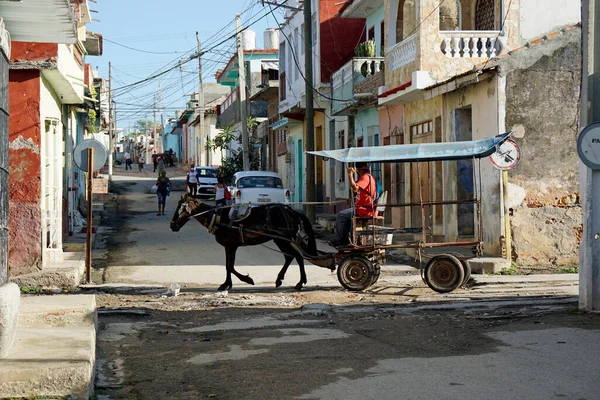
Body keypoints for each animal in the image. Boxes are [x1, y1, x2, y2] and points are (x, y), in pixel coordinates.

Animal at [169, 194, 318, 290]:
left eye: (181, 208)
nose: (172, 226)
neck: (217, 217)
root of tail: (291, 211)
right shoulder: (229, 246)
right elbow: (228, 266)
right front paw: (226, 284)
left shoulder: (231, 246)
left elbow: (230, 267)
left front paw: (247, 280)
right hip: (280, 240)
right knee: (290, 257)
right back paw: (280, 279)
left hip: (283, 239)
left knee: (297, 257)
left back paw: (300, 282)